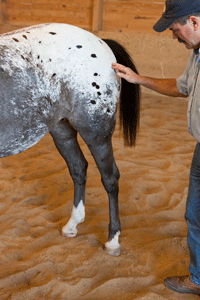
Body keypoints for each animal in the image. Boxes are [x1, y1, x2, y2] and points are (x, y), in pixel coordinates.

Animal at [0, 23, 140, 256]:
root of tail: (99, 41)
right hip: (62, 130)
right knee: (79, 168)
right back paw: (72, 225)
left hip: (96, 133)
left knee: (110, 179)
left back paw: (113, 240)